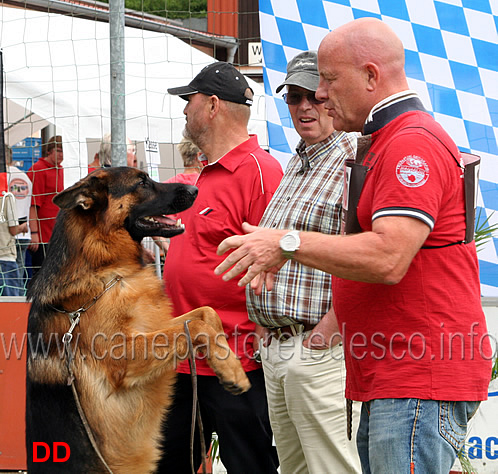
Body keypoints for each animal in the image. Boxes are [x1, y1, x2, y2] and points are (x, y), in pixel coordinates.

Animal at [25, 168, 251, 474]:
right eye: (142, 182)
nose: (195, 190)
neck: (107, 269)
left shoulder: (155, 329)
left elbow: (206, 313)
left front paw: (229, 363)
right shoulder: (121, 356)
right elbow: (197, 326)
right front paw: (232, 372)